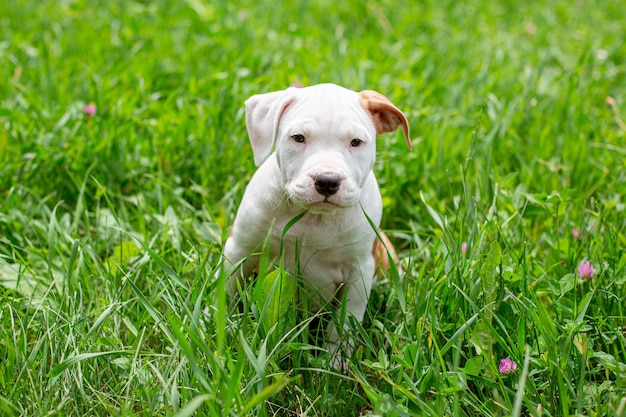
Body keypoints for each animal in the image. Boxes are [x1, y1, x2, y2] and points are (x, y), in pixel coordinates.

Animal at [221, 83, 410, 366]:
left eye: (356, 142)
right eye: (298, 138)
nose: (328, 181)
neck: (313, 217)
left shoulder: (359, 271)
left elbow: (344, 324)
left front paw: (335, 363)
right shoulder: (240, 249)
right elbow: (227, 292)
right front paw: (221, 329)